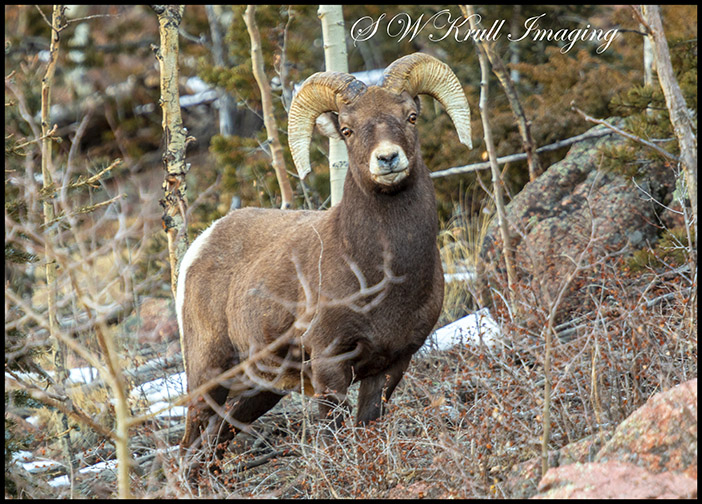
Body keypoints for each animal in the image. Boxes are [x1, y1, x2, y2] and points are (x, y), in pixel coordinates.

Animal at [177, 52, 472, 460]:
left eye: (411, 116)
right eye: (347, 130)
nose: (388, 158)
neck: (382, 276)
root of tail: (200, 245)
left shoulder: (391, 365)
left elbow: (366, 428)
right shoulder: (329, 365)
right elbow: (334, 434)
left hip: (261, 389)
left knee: (216, 441)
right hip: (209, 374)